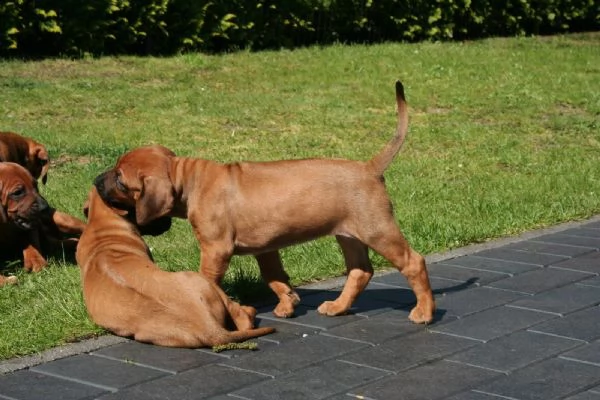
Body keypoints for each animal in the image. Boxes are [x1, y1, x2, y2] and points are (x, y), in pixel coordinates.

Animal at [77, 188, 276, 346]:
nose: (168, 221)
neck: (100, 225)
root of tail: (209, 328)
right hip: (199, 278)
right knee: (241, 317)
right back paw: (250, 310)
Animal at [95, 81, 436, 324]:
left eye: (121, 180)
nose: (96, 181)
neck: (188, 180)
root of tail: (370, 167)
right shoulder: (266, 246)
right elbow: (274, 277)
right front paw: (288, 303)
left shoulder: (216, 249)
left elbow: (209, 280)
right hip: (348, 234)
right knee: (360, 271)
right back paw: (338, 306)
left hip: (377, 229)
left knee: (413, 262)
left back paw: (425, 312)